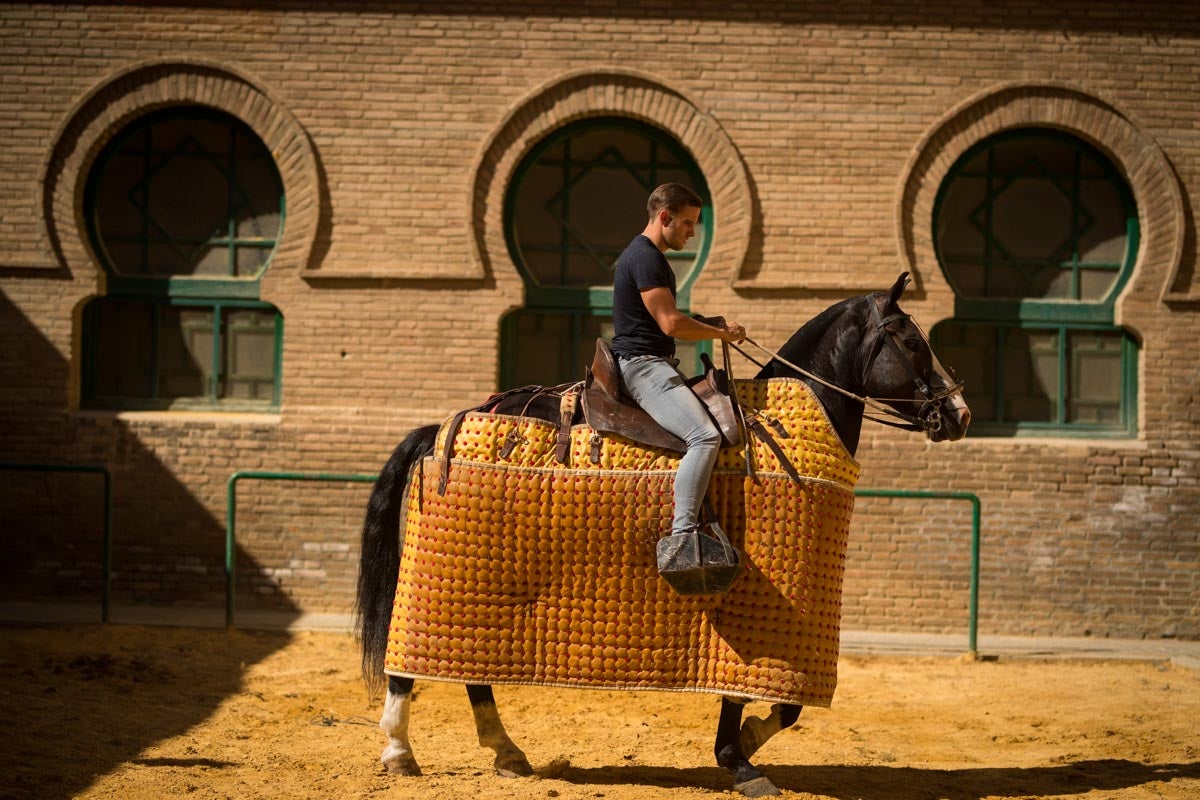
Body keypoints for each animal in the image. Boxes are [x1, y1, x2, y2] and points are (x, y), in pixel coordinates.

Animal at [352, 272, 964, 796]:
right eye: (911, 341)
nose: (958, 412)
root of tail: (446, 426)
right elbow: (772, 704)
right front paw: (739, 758)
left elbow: (778, 705)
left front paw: (740, 749)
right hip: (446, 582)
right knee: (406, 665)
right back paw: (399, 751)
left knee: (471, 675)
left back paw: (506, 751)